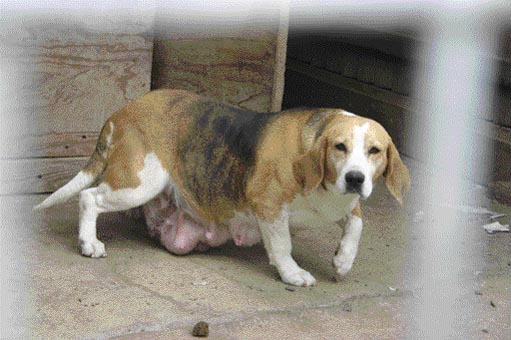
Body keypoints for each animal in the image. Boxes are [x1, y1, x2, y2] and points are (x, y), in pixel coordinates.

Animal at [35, 89, 412, 286]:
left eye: (375, 151)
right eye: (339, 147)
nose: (355, 178)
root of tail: (122, 111)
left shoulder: (341, 205)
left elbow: (356, 222)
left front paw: (343, 260)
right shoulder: (269, 205)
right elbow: (283, 245)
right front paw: (292, 273)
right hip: (140, 182)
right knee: (89, 197)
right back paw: (89, 242)